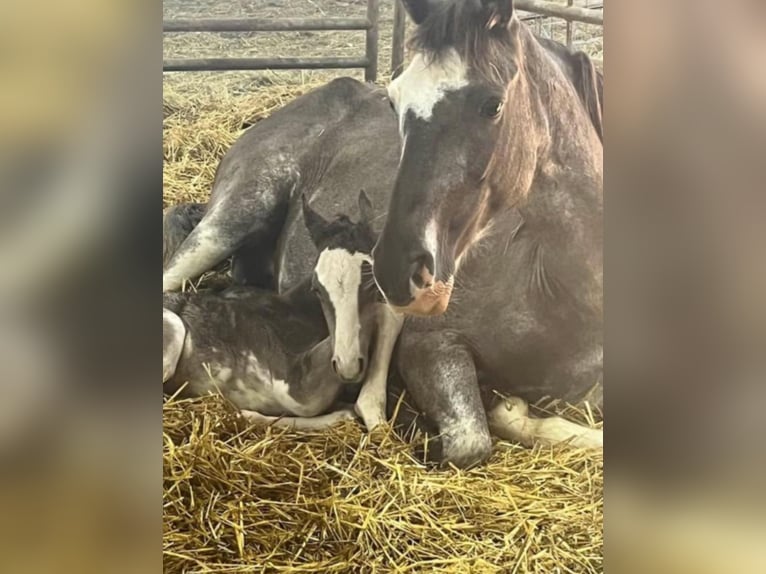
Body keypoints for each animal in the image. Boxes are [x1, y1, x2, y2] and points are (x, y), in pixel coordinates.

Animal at [163, 192, 399, 431]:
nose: (347, 366)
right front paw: (248, 415)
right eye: (317, 288)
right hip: (174, 328)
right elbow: (313, 404)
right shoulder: (292, 384)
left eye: (372, 284)